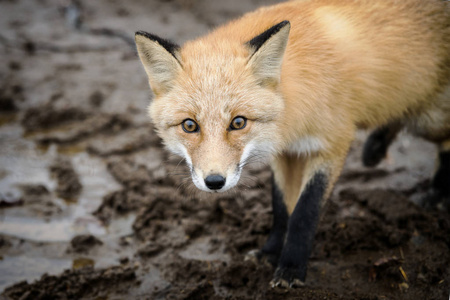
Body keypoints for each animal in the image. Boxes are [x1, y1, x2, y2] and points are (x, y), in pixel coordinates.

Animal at [134, 0, 450, 288]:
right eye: (190, 125)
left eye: (238, 122)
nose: (214, 182)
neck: (290, 116)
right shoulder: (286, 153)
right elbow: (281, 209)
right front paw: (270, 254)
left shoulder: (332, 144)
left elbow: (304, 212)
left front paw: (291, 268)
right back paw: (376, 148)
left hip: (428, 119)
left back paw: (435, 193)